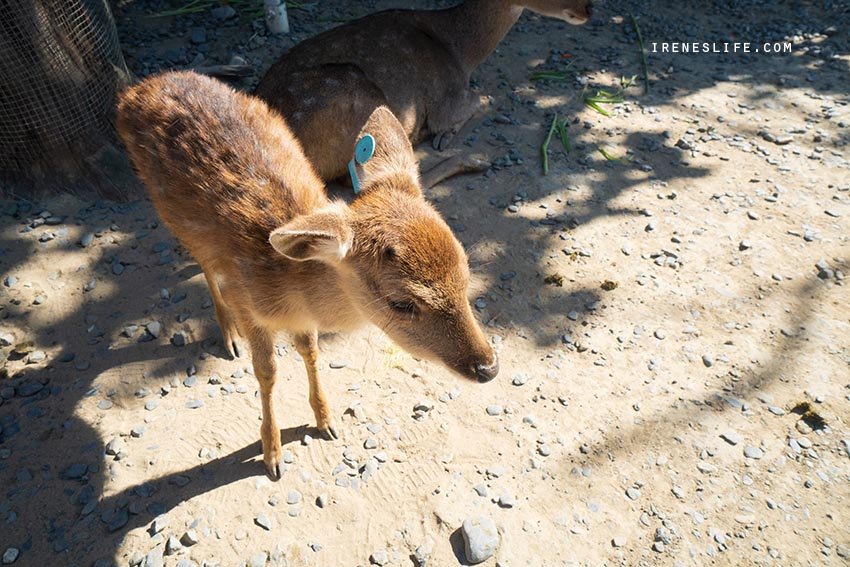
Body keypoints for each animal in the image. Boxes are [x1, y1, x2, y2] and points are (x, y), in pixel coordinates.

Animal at [114, 70, 496, 480]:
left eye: (467, 273)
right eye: (402, 303)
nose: (488, 367)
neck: (289, 289)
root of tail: (136, 90)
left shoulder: (303, 320)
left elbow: (311, 351)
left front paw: (327, 421)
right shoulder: (250, 307)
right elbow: (266, 372)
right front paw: (272, 455)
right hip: (169, 211)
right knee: (204, 264)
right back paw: (228, 337)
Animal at [255, 0, 592, 189]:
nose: (589, 8)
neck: (462, 51)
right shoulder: (448, 99)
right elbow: (484, 98)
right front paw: (445, 135)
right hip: (365, 102)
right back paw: (476, 158)